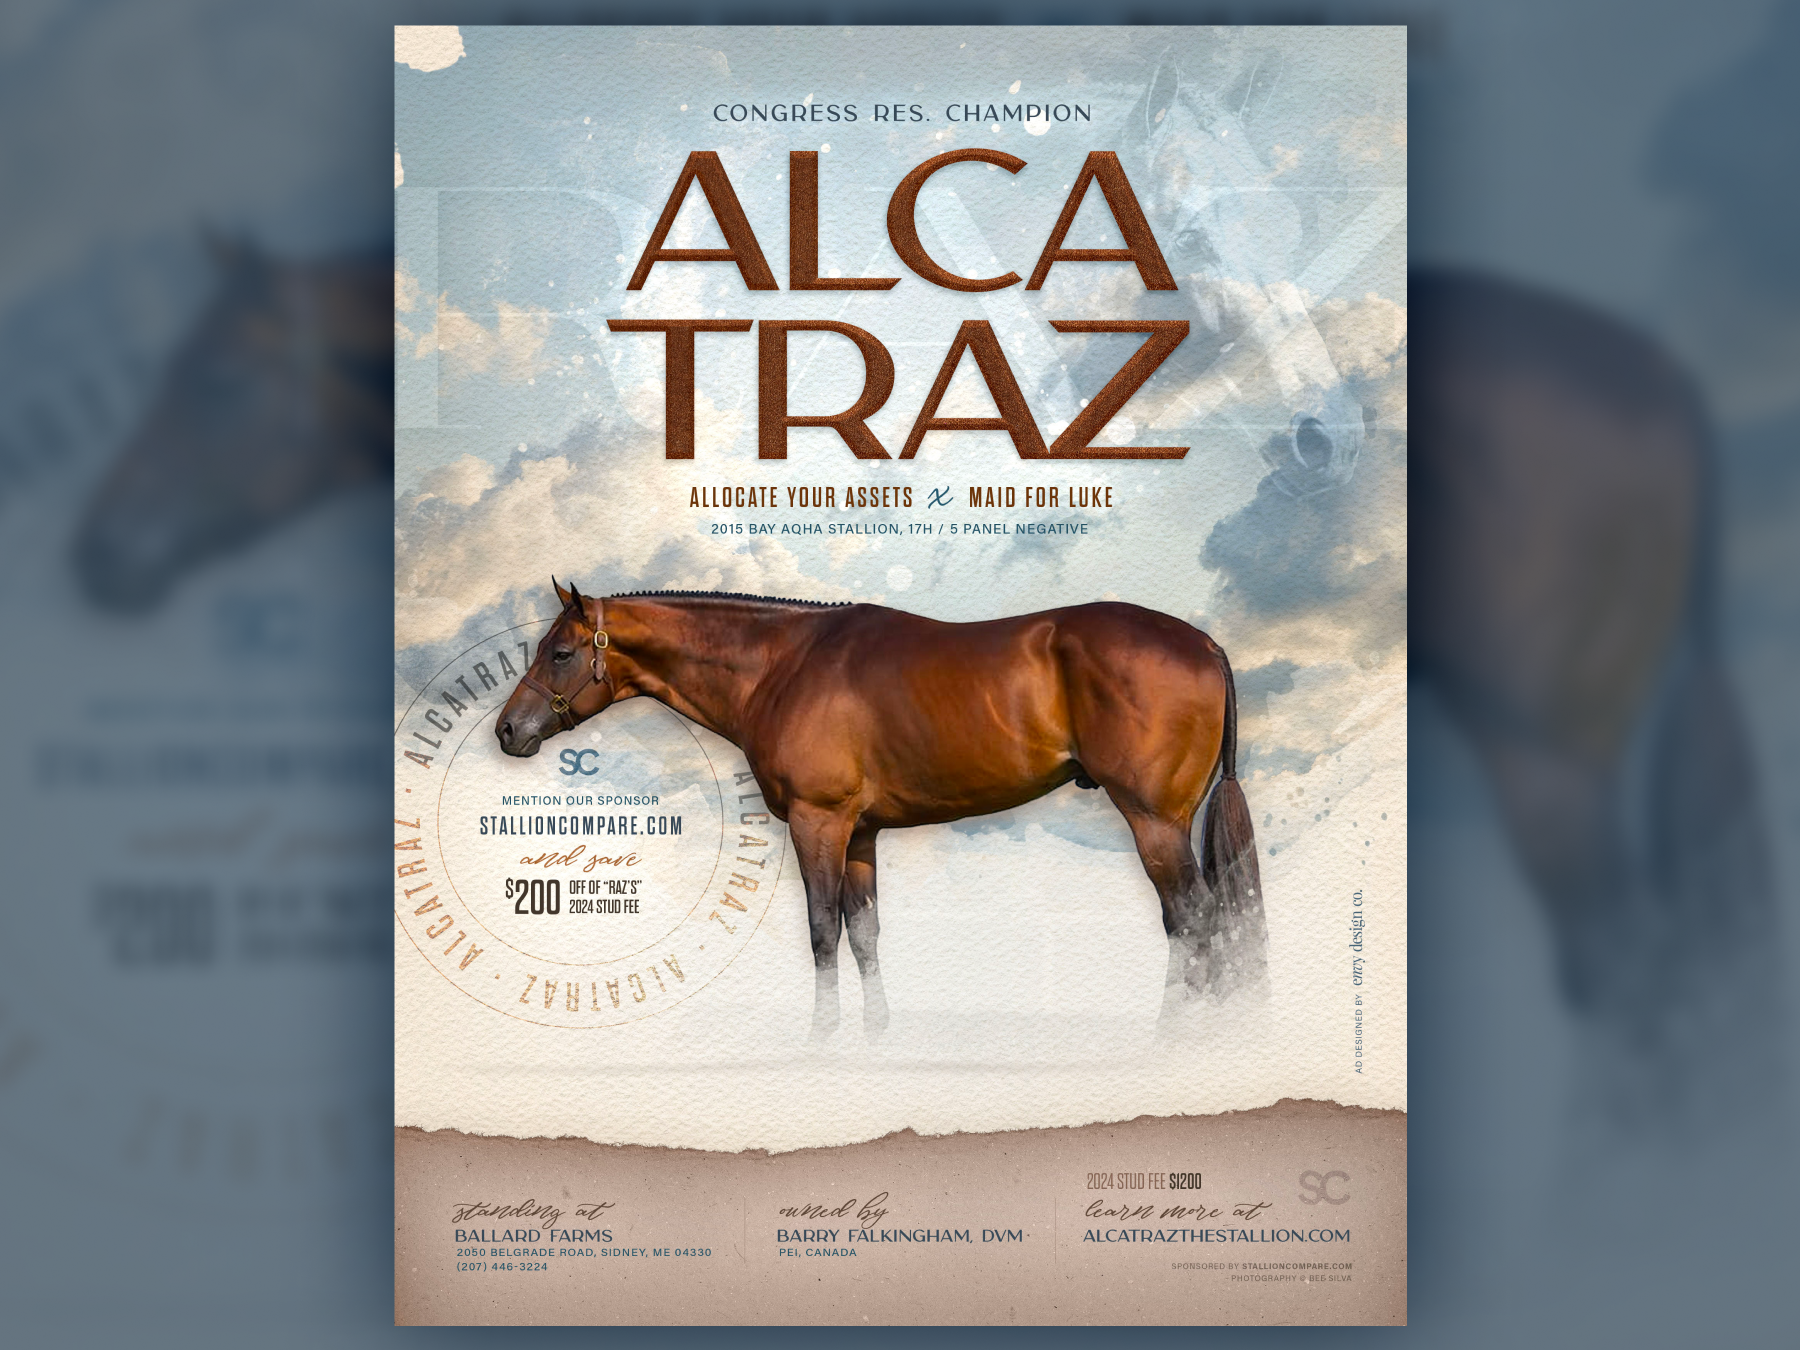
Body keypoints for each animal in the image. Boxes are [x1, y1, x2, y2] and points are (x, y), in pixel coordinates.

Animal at [495, 582, 1265, 1038]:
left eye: (559, 652)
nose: (508, 730)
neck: (781, 665)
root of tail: (1204, 642)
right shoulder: (861, 833)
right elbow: (863, 933)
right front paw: (875, 1036)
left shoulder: (819, 822)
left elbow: (821, 933)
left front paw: (823, 1039)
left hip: (1154, 822)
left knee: (1193, 920)